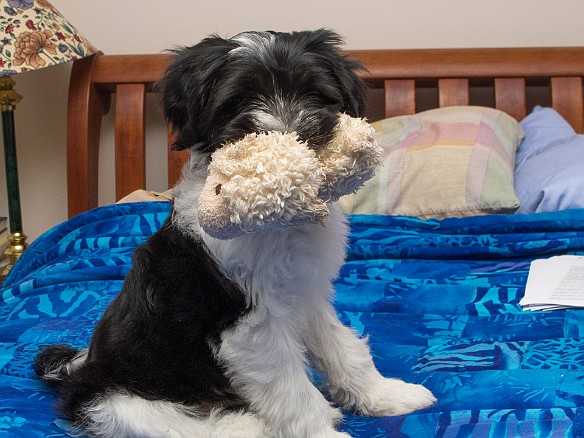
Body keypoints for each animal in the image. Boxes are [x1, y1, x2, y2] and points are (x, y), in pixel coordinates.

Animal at [34, 29, 436, 436]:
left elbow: (343, 349)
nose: (291, 137)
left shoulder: (307, 295)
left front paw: (385, 396)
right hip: (131, 406)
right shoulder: (251, 326)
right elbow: (292, 391)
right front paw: (322, 431)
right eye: (237, 102)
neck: (280, 219)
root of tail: (77, 372)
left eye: (314, 93)